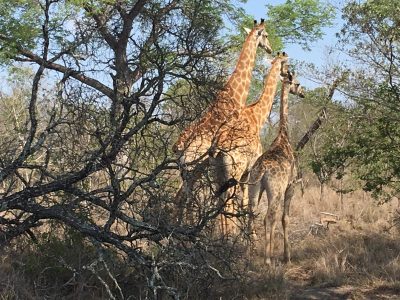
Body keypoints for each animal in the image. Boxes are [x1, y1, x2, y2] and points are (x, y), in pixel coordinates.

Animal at [245, 68, 304, 264]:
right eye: (298, 83)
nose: (302, 93)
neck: (283, 136)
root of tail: (262, 169)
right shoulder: (291, 186)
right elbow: (285, 218)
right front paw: (287, 257)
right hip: (275, 190)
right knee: (268, 217)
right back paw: (268, 259)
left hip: (254, 187)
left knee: (251, 213)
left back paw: (247, 255)